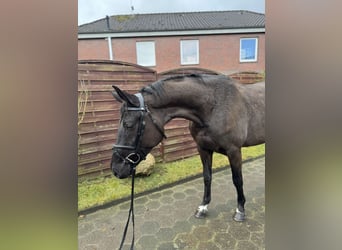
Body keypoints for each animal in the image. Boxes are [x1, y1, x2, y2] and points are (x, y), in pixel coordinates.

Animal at [110, 73, 264, 221]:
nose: (116, 169)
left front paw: (240, 210)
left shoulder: (234, 151)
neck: (213, 108)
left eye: (128, 124)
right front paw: (203, 207)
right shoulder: (203, 149)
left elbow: (237, 180)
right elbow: (207, 177)